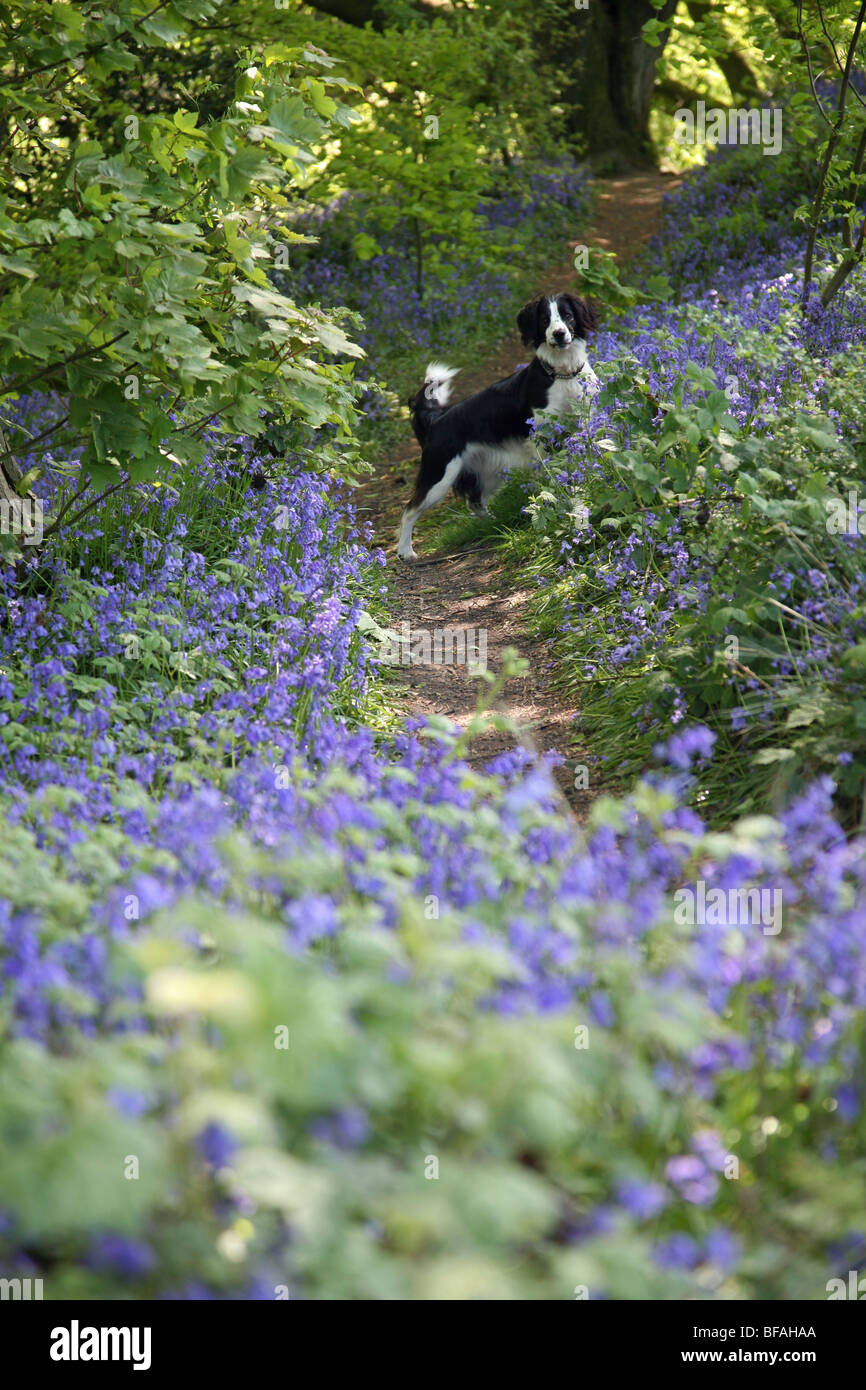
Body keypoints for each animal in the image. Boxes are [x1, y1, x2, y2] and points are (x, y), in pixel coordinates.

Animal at [397, 291, 594, 558]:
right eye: (545, 319)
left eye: (568, 316)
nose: (559, 334)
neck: (562, 375)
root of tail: (437, 420)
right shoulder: (544, 438)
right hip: (439, 477)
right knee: (409, 510)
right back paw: (405, 551)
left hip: (489, 472)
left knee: (475, 503)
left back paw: (495, 525)